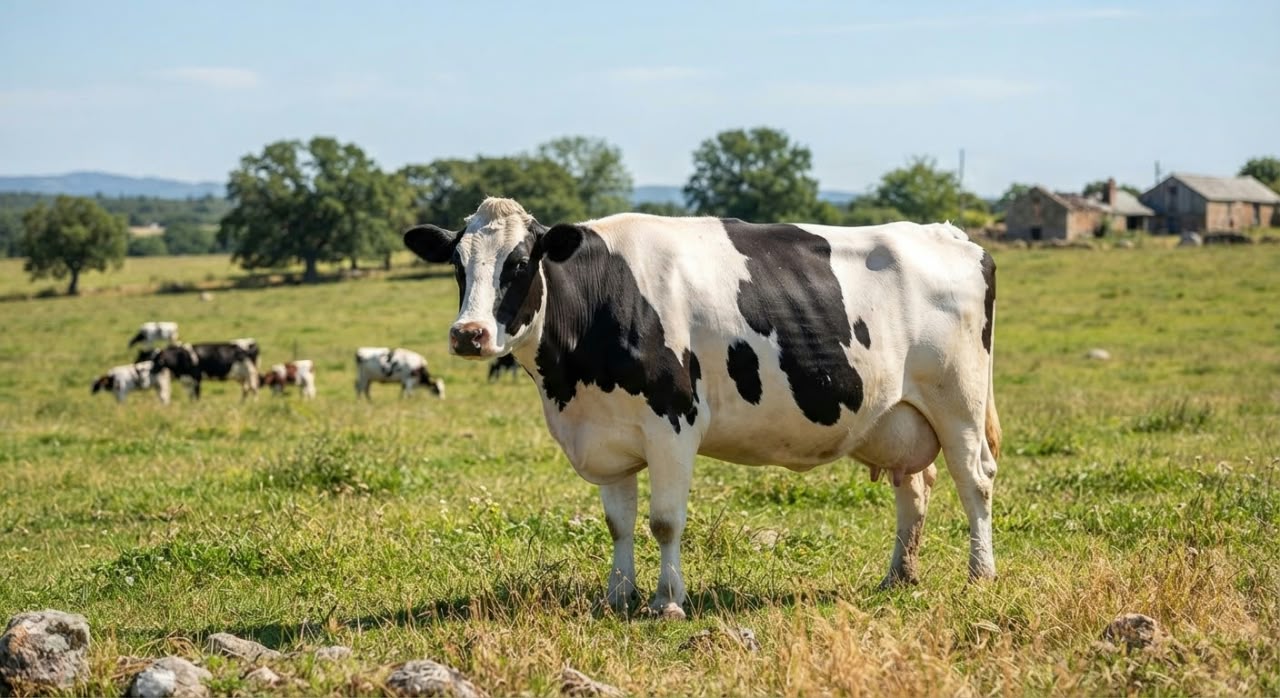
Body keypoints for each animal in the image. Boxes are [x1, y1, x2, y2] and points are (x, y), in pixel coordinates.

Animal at [403, 197, 1001, 619]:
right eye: (457, 264)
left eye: (522, 262)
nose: (469, 334)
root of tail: (950, 234)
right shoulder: (606, 435)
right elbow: (618, 524)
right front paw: (617, 597)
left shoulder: (673, 423)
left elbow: (665, 521)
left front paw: (668, 601)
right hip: (898, 416)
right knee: (914, 489)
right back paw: (899, 576)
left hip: (960, 401)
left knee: (975, 482)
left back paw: (980, 575)